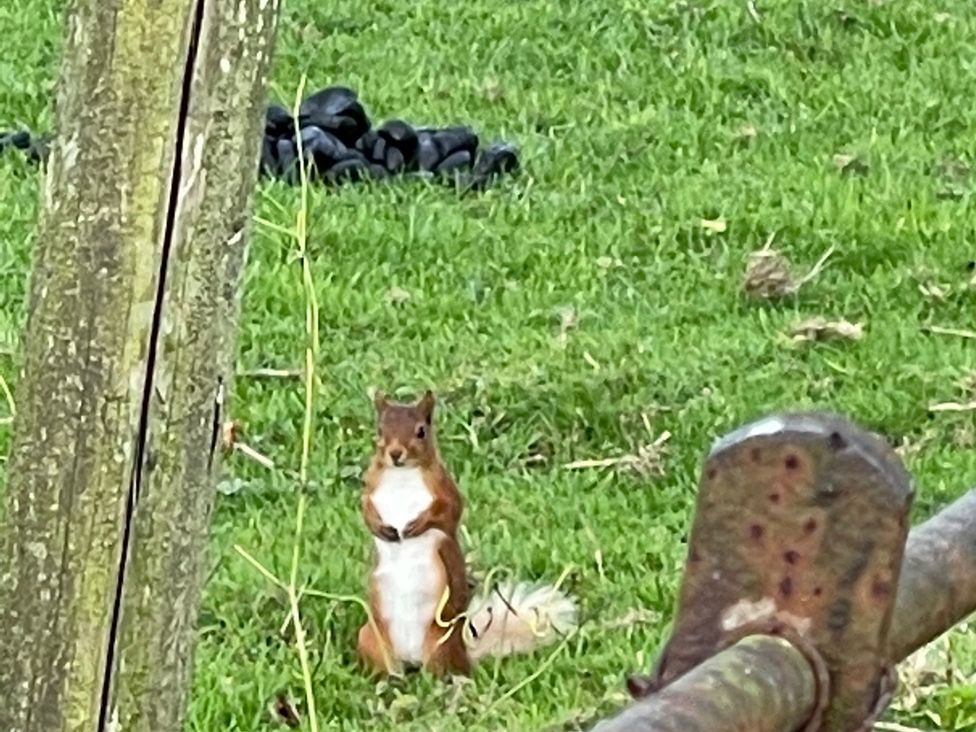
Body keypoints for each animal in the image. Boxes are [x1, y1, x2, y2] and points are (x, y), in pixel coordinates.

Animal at [357, 389, 578, 677]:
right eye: (380, 430)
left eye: (421, 431)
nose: (395, 454)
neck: (401, 475)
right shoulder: (371, 488)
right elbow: (365, 509)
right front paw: (381, 528)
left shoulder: (445, 489)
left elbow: (449, 512)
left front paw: (417, 525)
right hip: (371, 637)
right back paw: (392, 678)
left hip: (440, 643)